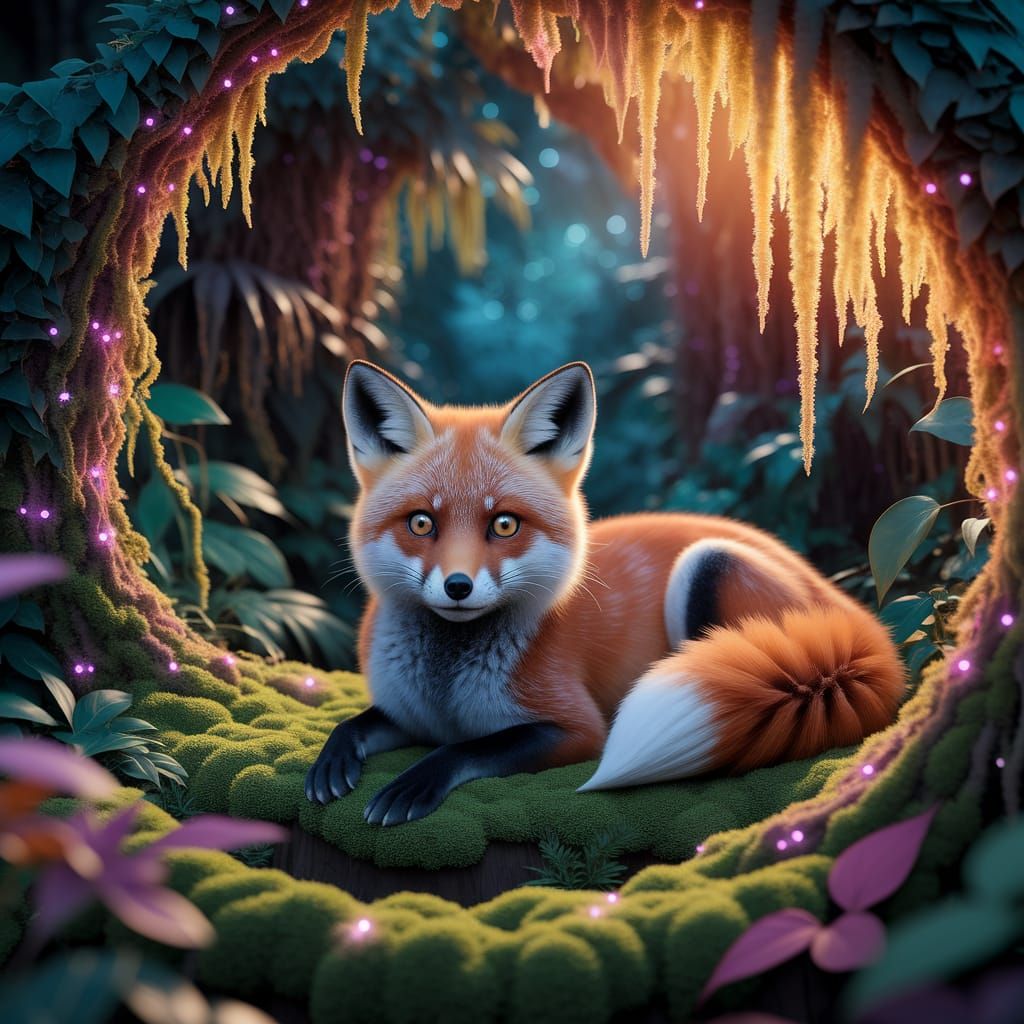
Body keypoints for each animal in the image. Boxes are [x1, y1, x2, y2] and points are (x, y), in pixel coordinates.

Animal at [305, 360, 905, 826]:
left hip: (706, 566)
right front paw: (333, 762)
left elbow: (467, 747)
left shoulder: (575, 728)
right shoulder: (409, 715)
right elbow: (355, 724)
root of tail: (840, 602)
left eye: (504, 525)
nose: (458, 586)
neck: (445, 689)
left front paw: (414, 782)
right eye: (422, 523)